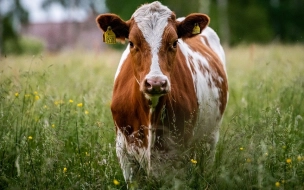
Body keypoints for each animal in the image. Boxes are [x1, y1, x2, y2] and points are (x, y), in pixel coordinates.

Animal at [96, 0, 227, 189]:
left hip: (210, 139)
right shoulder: (125, 154)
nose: (156, 82)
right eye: (131, 43)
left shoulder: (179, 155)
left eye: (174, 42)